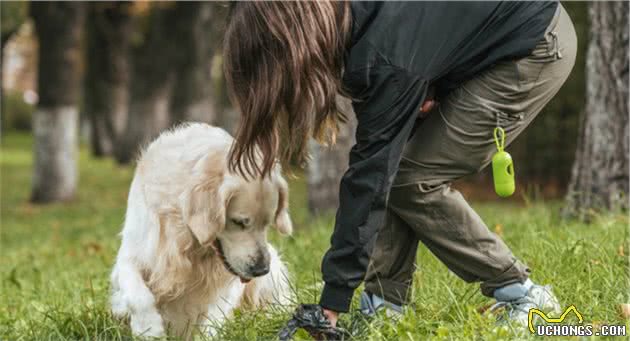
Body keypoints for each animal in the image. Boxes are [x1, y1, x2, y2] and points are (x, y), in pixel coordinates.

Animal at [110, 123, 294, 336]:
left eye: (267, 223)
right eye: (239, 222)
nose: (261, 269)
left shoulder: (228, 279)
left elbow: (215, 314)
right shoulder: (133, 253)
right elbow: (138, 296)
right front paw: (149, 329)